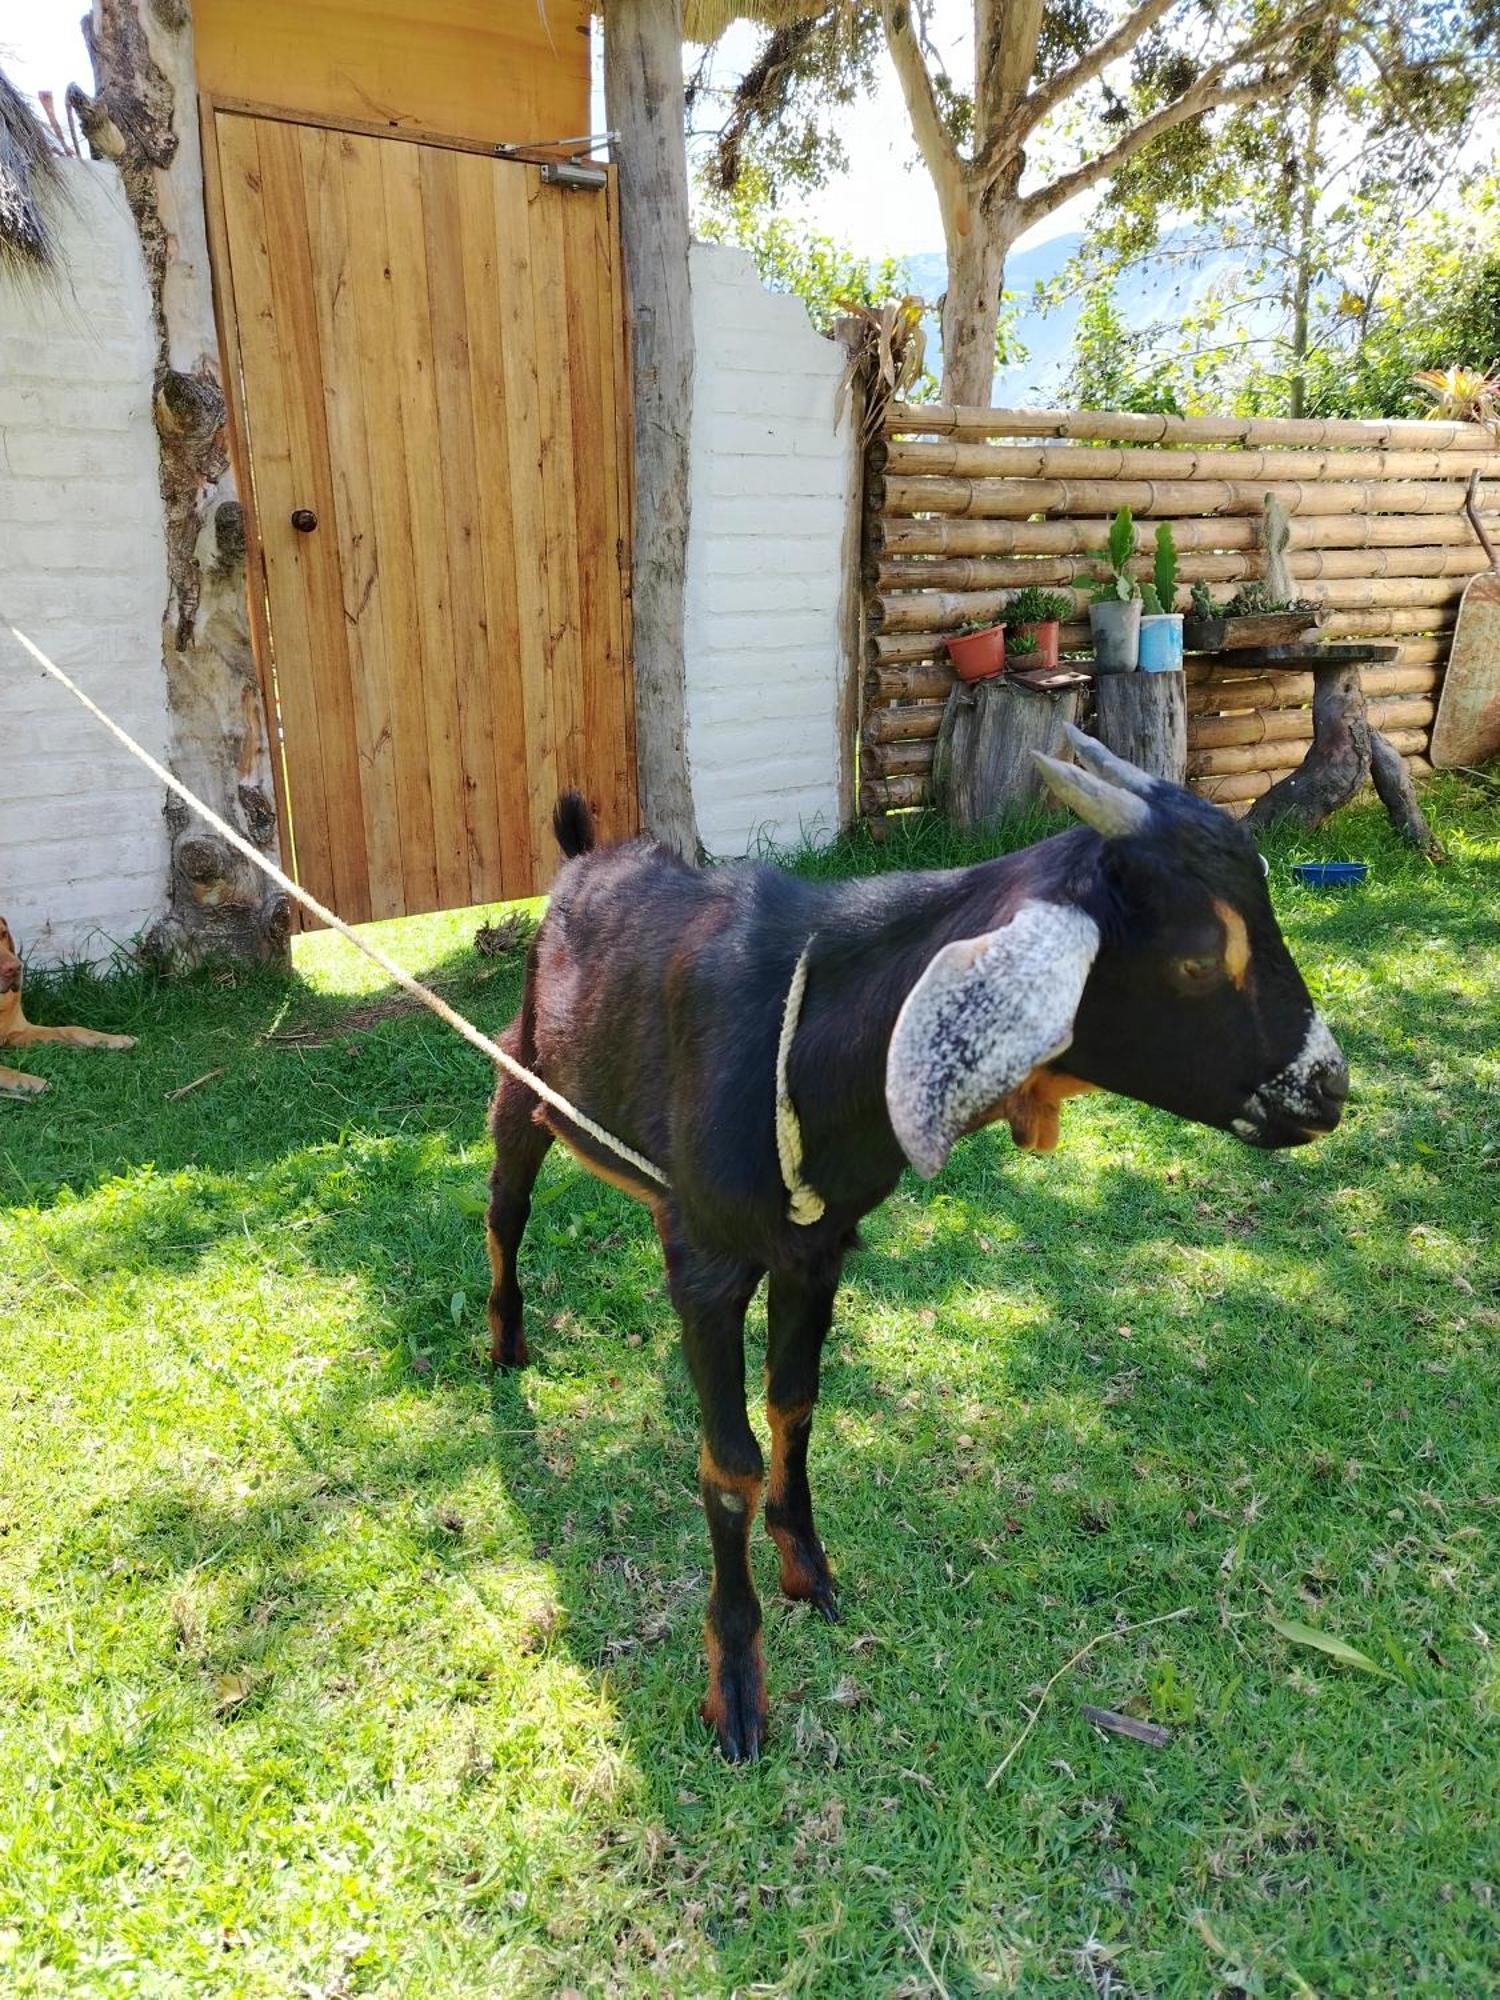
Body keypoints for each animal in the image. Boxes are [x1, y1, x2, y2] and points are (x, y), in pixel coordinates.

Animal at [0, 916, 137, 1104]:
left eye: (3, 934)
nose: (14, 968)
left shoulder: (20, 1032)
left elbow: (72, 1029)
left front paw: (114, 1039)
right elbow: (3, 1069)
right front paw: (28, 1081)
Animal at [490, 728, 1352, 1760]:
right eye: (1196, 958)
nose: (1328, 1089)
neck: (805, 1039)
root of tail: (582, 861)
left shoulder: (817, 1250)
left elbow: (795, 1405)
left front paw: (808, 1566)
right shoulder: (705, 1260)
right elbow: (728, 1461)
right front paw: (735, 1684)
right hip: (521, 1082)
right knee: (505, 1211)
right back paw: (504, 1341)